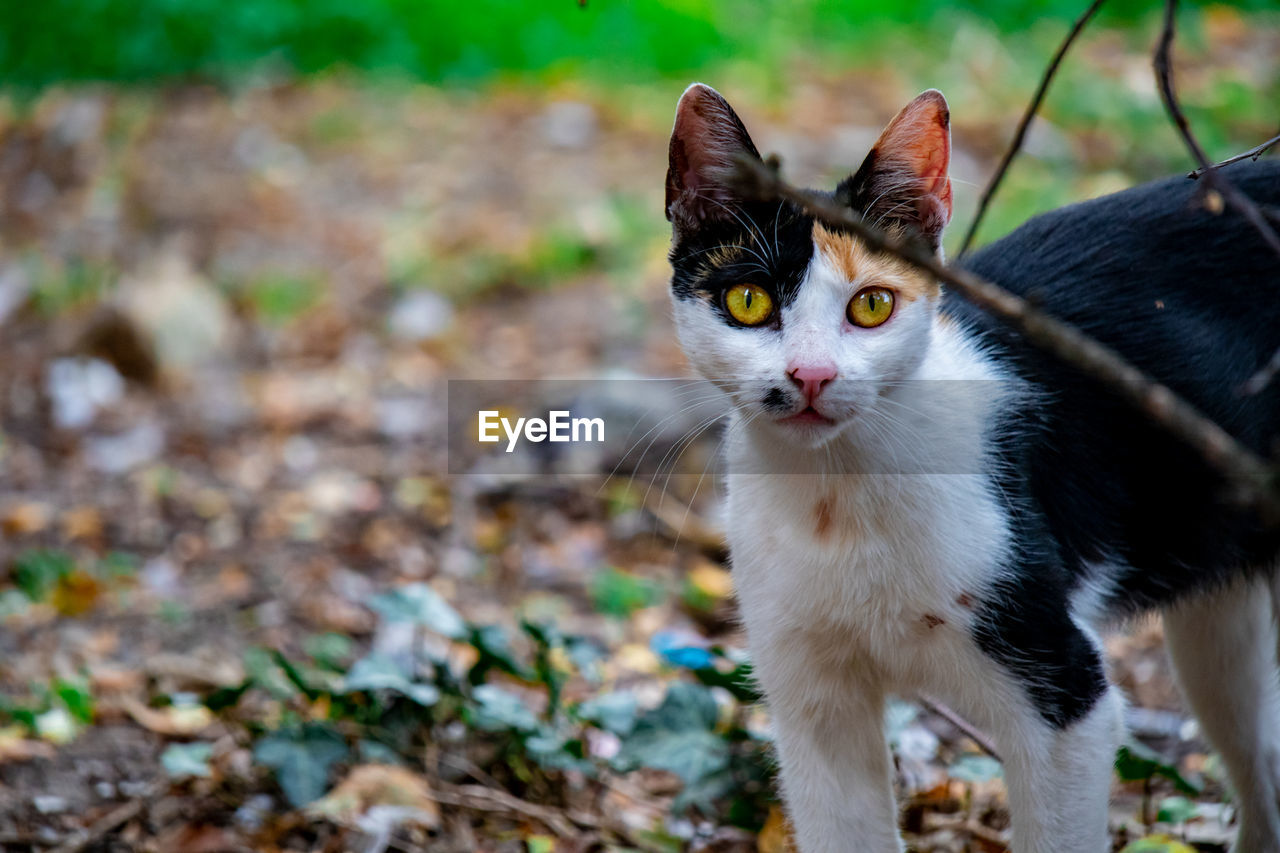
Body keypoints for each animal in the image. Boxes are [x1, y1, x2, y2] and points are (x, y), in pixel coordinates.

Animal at [665, 81, 1274, 850]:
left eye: (872, 305)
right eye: (749, 301)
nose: (812, 375)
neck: (839, 493)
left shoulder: (1065, 697)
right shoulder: (811, 700)